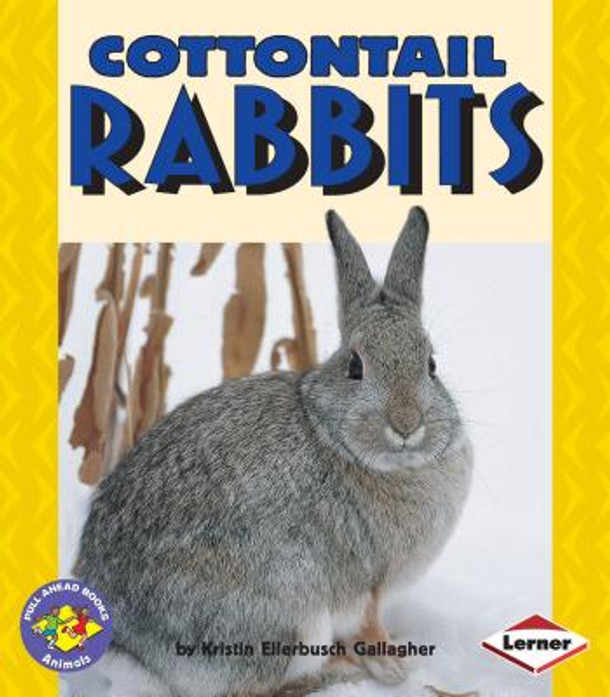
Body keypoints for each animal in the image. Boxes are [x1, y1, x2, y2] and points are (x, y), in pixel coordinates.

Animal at [74, 206, 473, 697]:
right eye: (355, 366)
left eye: (431, 365)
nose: (406, 424)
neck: (332, 432)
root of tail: (131, 652)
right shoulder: (367, 583)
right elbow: (367, 625)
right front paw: (394, 668)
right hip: (287, 618)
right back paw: (337, 670)